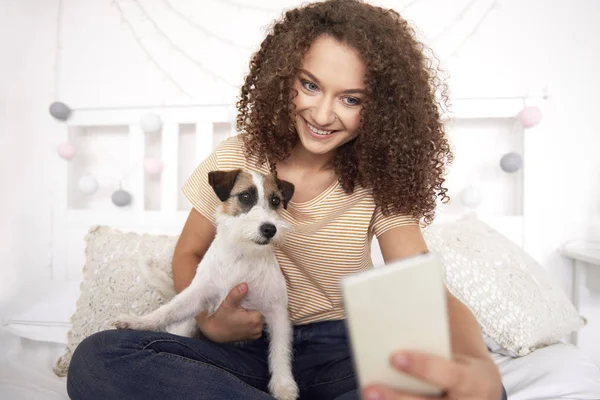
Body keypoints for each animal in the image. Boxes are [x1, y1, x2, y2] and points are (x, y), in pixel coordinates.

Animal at [113, 169, 298, 400]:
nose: (269, 229)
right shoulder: (198, 294)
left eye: (275, 201)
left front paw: (284, 386)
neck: (243, 256)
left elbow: (280, 351)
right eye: (245, 196)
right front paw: (138, 322)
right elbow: (167, 311)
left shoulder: (276, 312)